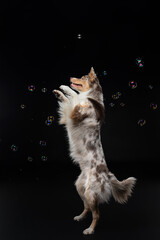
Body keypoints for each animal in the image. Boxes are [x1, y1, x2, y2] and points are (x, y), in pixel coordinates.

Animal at [53, 67, 136, 234]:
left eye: (82, 77)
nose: (71, 77)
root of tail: (108, 175)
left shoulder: (75, 113)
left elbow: (74, 99)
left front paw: (67, 90)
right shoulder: (68, 116)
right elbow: (70, 98)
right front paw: (61, 91)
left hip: (91, 192)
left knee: (96, 213)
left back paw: (90, 229)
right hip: (80, 188)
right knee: (88, 208)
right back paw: (80, 217)